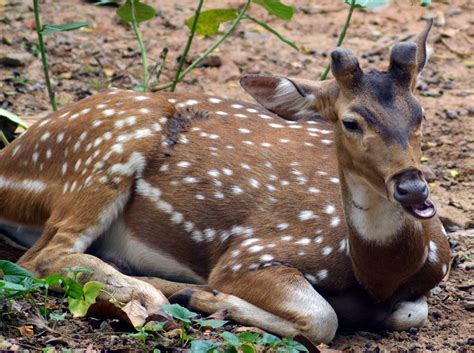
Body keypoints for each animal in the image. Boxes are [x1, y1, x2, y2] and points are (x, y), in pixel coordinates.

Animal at [0, 20, 452, 342]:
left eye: (420, 113)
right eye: (350, 121)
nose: (412, 189)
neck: (377, 275)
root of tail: (11, 154)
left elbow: (412, 312)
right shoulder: (251, 253)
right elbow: (323, 317)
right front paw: (204, 295)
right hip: (104, 155)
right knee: (41, 258)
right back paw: (156, 293)